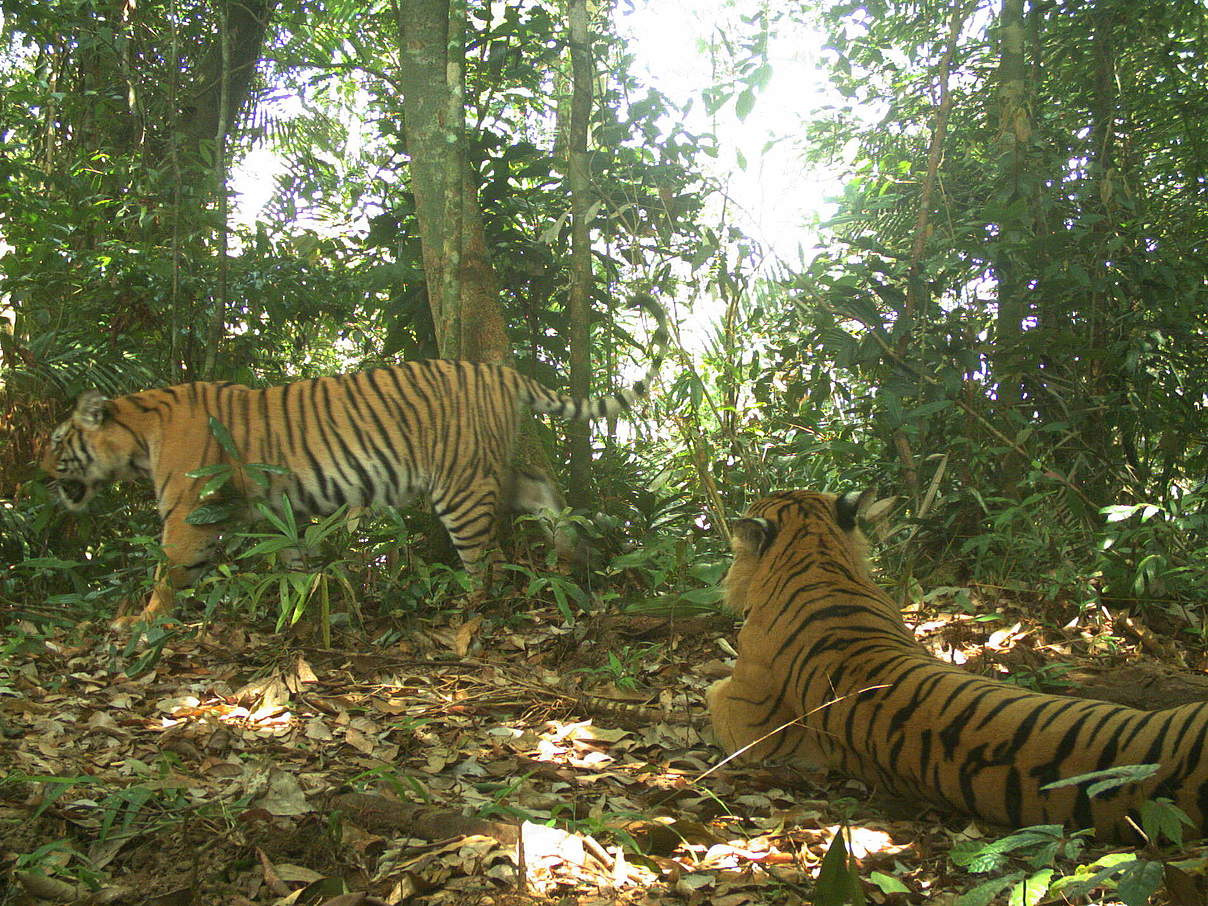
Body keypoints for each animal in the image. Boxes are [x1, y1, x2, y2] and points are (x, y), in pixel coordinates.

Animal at [44, 302, 671, 628]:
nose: (34, 463)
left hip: (460, 485)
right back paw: (574, 549)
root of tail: (500, 371)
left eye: (57, 440)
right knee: (542, 493)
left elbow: (168, 570)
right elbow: (292, 559)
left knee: (483, 560)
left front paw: (141, 621)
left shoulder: (187, 510)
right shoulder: (271, 510)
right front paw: (302, 605)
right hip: (486, 465)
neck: (139, 433)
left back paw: (465, 611)